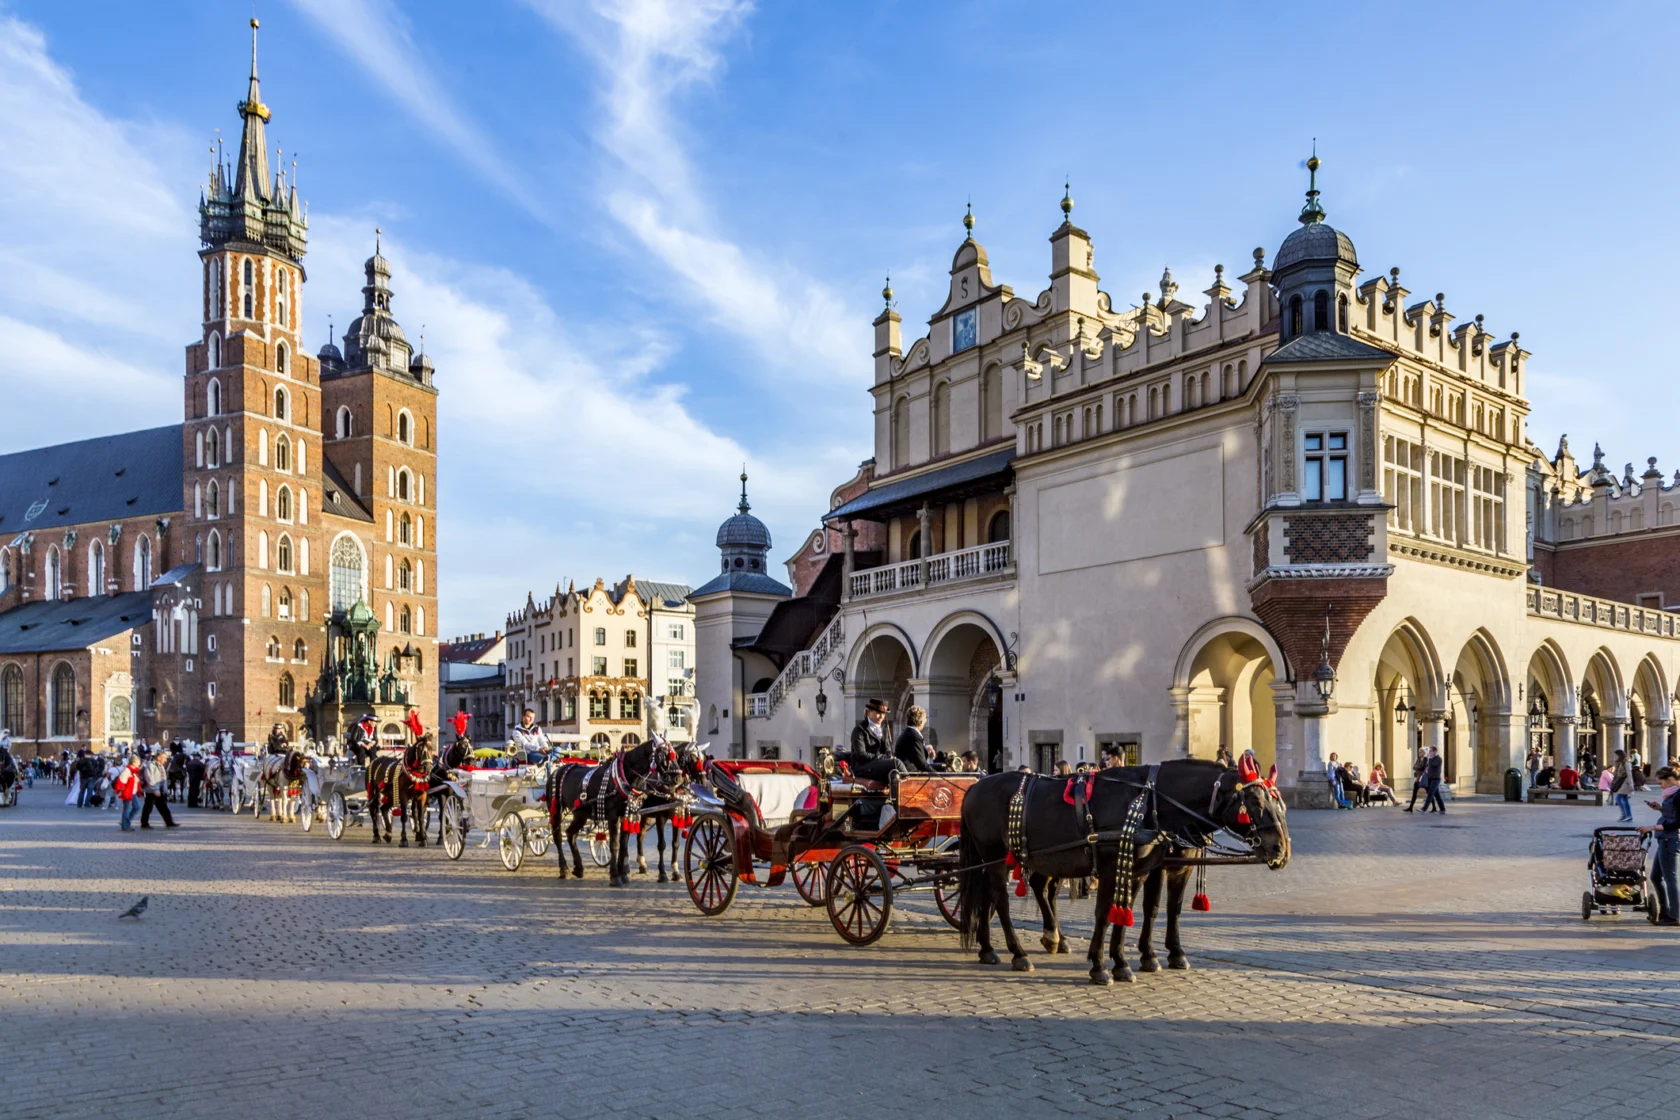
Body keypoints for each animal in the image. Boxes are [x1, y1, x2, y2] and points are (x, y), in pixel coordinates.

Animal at [551, 738, 682, 886]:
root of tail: (558, 770)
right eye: (661, 755)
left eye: (676, 755)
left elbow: (623, 844)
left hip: (580, 815)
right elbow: (615, 844)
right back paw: (563, 868)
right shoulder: (613, 816)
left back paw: (578, 868)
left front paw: (623, 874)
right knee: (557, 836)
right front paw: (615, 876)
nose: (677, 779)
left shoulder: (627, 815)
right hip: (556, 809)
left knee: (570, 834)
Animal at [960, 758, 1283, 987]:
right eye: (1255, 802)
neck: (1149, 802)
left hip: (1025, 859)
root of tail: (975, 787)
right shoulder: (1113, 866)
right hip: (995, 857)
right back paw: (1019, 954)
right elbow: (1107, 913)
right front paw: (1101, 965)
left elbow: (1138, 910)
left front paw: (1124, 962)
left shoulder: (1142, 870)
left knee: (997, 896)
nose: (1281, 848)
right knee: (1001, 901)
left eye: (1278, 801)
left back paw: (995, 948)